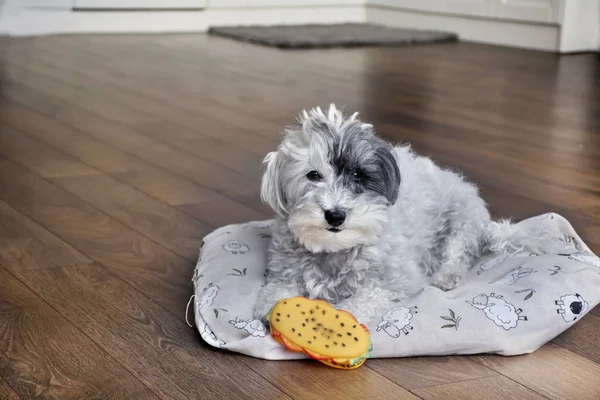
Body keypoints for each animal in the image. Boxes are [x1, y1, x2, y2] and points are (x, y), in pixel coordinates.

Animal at [254, 104, 564, 324]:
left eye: (358, 174)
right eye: (313, 175)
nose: (335, 215)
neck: (335, 251)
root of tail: (487, 225)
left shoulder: (399, 280)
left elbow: (364, 298)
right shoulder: (283, 273)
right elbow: (275, 294)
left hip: (462, 220)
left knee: (458, 255)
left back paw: (447, 276)